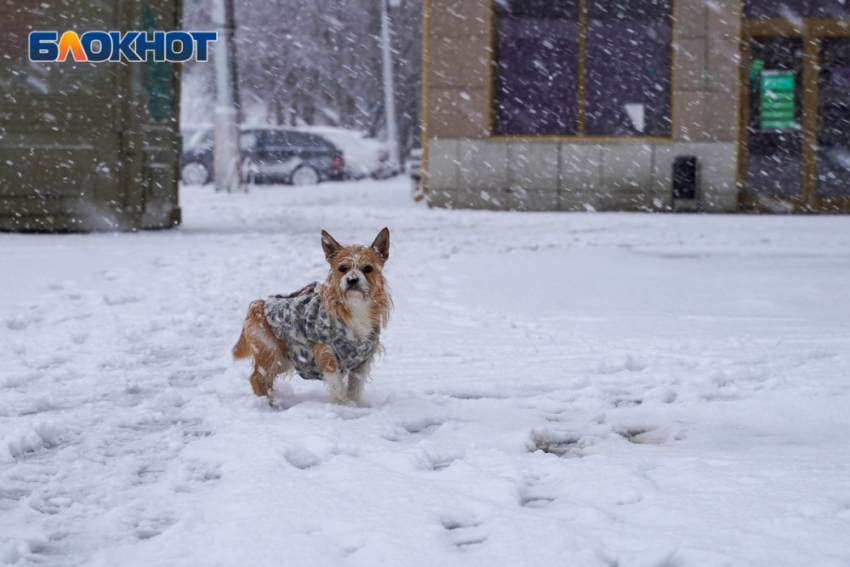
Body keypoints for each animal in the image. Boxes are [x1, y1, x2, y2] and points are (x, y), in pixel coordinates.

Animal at [232, 226, 390, 404]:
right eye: (342, 268)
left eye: (368, 268)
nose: (352, 279)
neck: (356, 307)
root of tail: (257, 305)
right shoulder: (326, 352)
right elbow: (336, 383)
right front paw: (340, 404)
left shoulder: (363, 359)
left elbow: (356, 385)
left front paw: (356, 404)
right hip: (270, 351)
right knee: (257, 378)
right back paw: (268, 402)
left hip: (284, 359)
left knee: (267, 379)